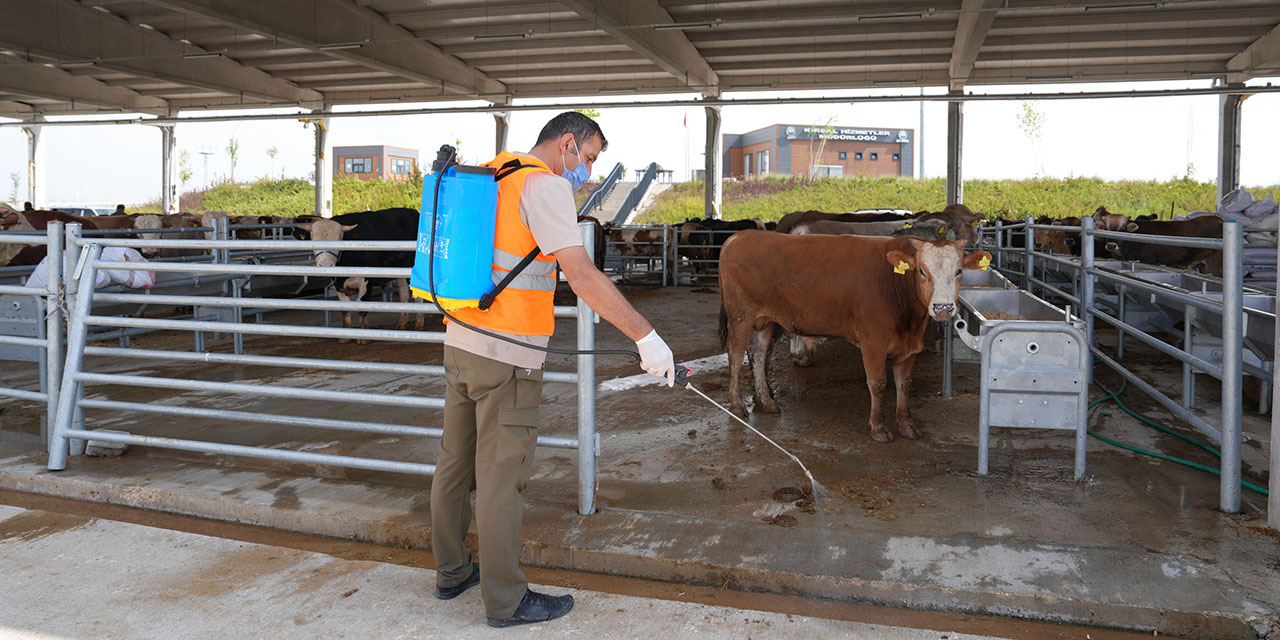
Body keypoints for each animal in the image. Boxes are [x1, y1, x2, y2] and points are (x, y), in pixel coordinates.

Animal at [721, 232, 988, 442]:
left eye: (959, 271)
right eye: (922, 271)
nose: (943, 308)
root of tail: (740, 236)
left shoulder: (910, 346)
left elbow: (904, 385)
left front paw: (906, 425)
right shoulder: (873, 341)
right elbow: (878, 383)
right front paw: (878, 427)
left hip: (764, 321)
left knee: (757, 354)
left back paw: (766, 401)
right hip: (741, 316)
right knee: (735, 354)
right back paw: (737, 404)